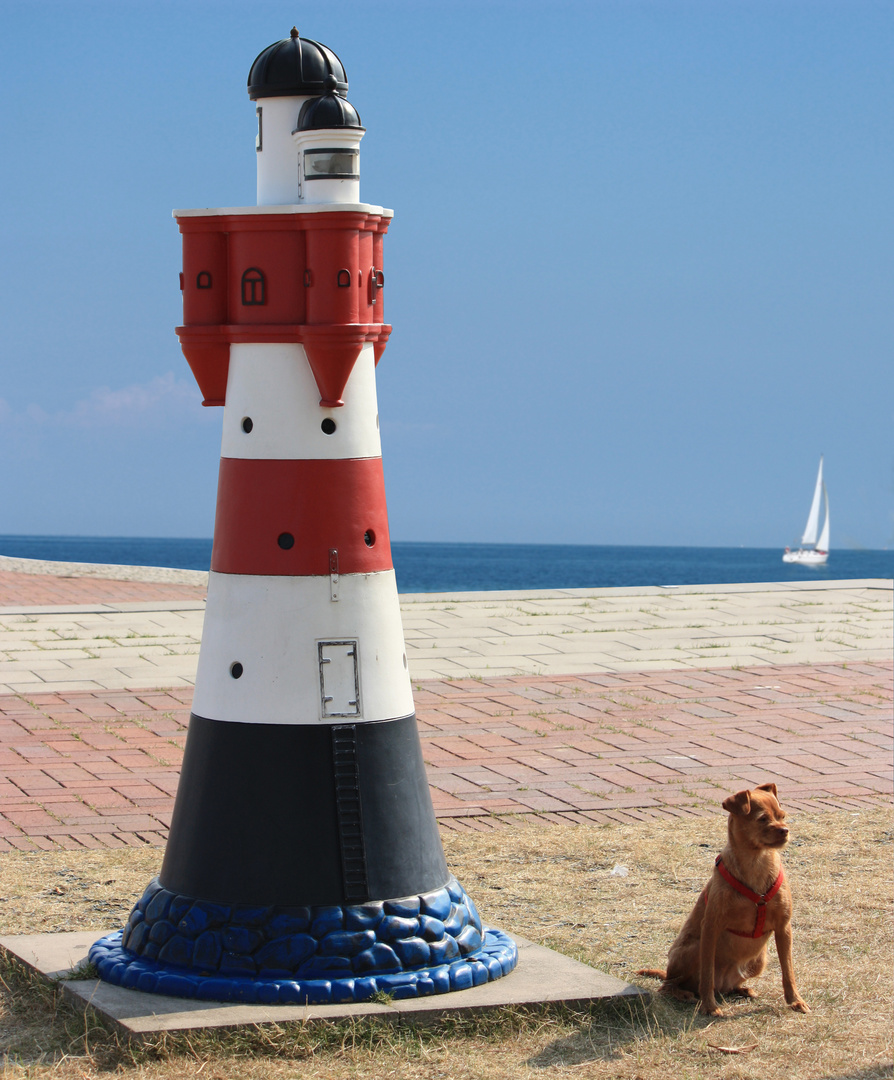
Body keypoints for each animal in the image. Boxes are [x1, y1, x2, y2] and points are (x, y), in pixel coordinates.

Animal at [639, 786, 807, 1010]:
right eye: (762, 819)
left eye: (782, 816)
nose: (785, 830)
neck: (756, 862)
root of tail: (724, 982)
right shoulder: (711, 926)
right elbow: (707, 974)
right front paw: (710, 1007)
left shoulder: (783, 928)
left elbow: (788, 971)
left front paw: (796, 1000)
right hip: (691, 950)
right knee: (670, 984)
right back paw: (684, 993)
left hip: (759, 959)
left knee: (728, 985)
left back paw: (742, 989)